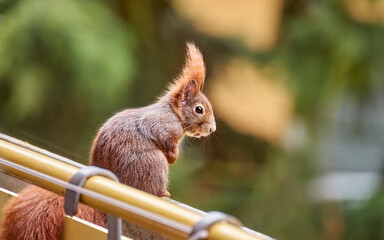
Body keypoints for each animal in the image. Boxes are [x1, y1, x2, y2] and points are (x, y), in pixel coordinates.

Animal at [0, 42, 216, 239]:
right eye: (199, 109)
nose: (212, 129)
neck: (174, 113)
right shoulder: (161, 124)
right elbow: (162, 137)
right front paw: (173, 156)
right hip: (153, 164)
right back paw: (162, 193)